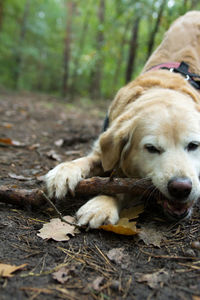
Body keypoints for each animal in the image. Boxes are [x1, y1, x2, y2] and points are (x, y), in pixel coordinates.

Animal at [46, 11, 200, 227]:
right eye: (151, 148)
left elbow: (120, 186)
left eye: (194, 145)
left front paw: (102, 203)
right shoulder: (103, 149)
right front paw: (64, 171)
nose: (181, 188)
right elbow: (88, 161)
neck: (163, 89)